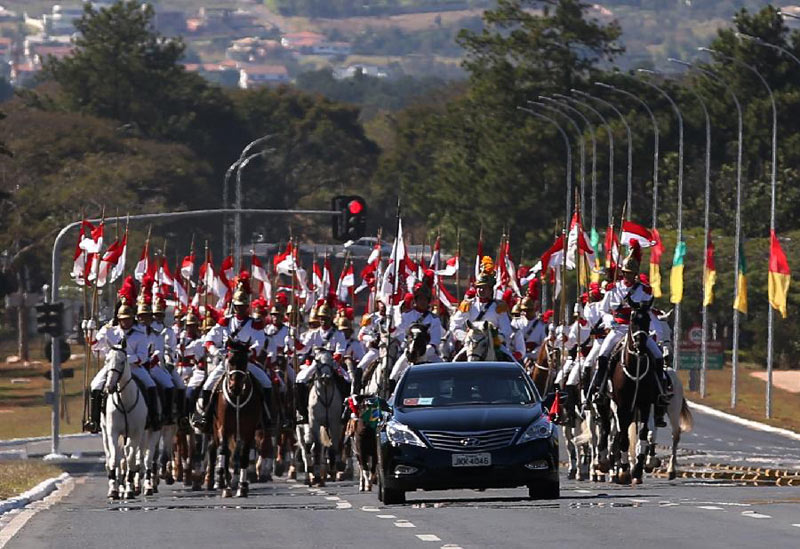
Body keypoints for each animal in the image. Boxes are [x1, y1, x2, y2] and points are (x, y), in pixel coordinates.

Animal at [101, 344, 147, 498]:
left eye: (122, 362)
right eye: (107, 360)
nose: (109, 387)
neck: (124, 401)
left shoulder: (137, 434)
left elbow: (131, 460)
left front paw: (129, 489)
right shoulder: (113, 432)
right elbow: (114, 459)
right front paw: (113, 490)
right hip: (105, 433)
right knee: (111, 458)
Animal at [206, 338, 262, 496]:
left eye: (245, 361)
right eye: (230, 360)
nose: (235, 387)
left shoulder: (248, 430)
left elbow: (244, 455)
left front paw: (242, 487)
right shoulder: (223, 427)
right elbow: (223, 450)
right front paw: (223, 482)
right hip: (216, 428)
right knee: (218, 449)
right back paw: (220, 480)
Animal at [296, 348, 342, 486]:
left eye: (331, 359)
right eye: (317, 360)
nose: (326, 377)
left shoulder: (334, 423)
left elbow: (332, 447)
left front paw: (332, 472)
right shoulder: (314, 423)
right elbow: (315, 449)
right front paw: (316, 476)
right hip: (300, 430)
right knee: (306, 450)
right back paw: (309, 476)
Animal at [608, 300, 664, 484]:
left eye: (648, 320)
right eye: (632, 319)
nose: (640, 345)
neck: (636, 367)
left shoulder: (645, 404)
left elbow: (644, 434)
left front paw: (638, 469)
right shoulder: (622, 406)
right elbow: (623, 438)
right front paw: (624, 470)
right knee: (618, 435)